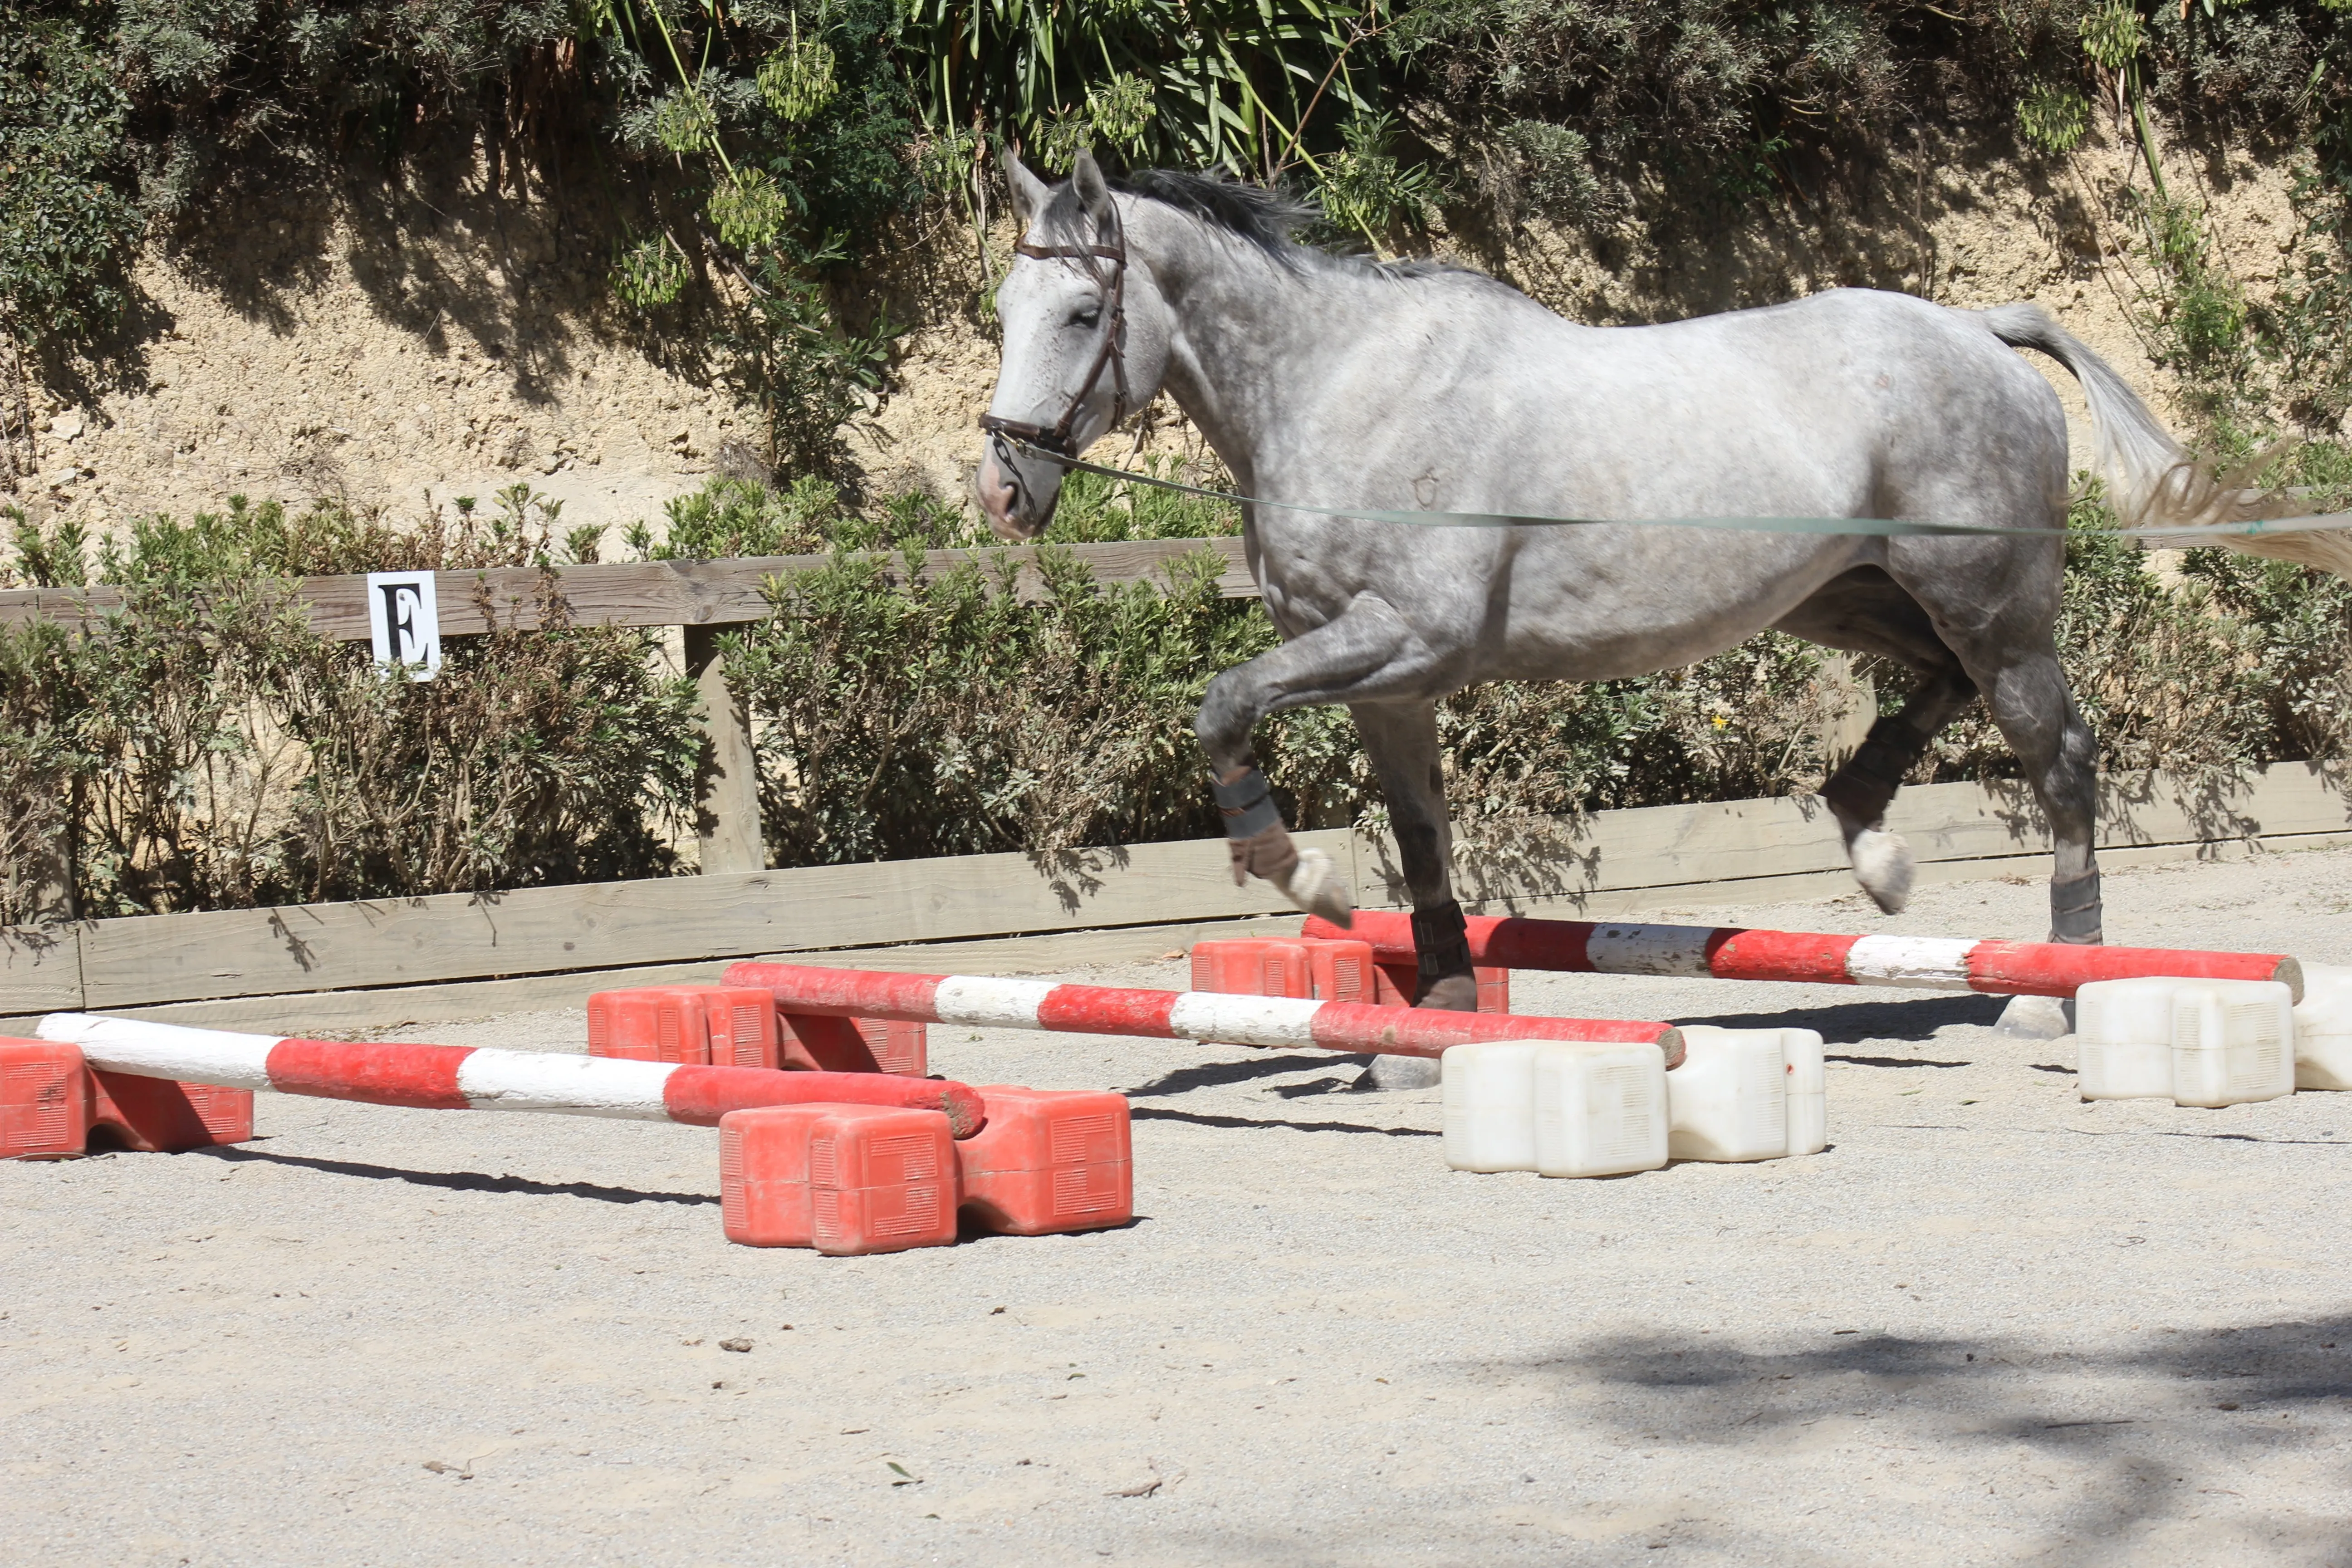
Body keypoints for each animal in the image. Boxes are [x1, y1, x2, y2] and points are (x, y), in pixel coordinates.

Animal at [974, 150, 2295, 1081]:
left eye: (1082, 317)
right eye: (1001, 309)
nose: (1002, 488)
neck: (1343, 392)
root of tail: (1978, 329)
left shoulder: (1402, 638)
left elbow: (1224, 704)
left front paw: (1293, 868)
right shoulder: (1393, 686)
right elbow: (1421, 840)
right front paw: (1438, 1022)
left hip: (1992, 606)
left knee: (2059, 758)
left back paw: (2050, 987)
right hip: (1848, 598)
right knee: (1945, 691)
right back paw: (1869, 835)